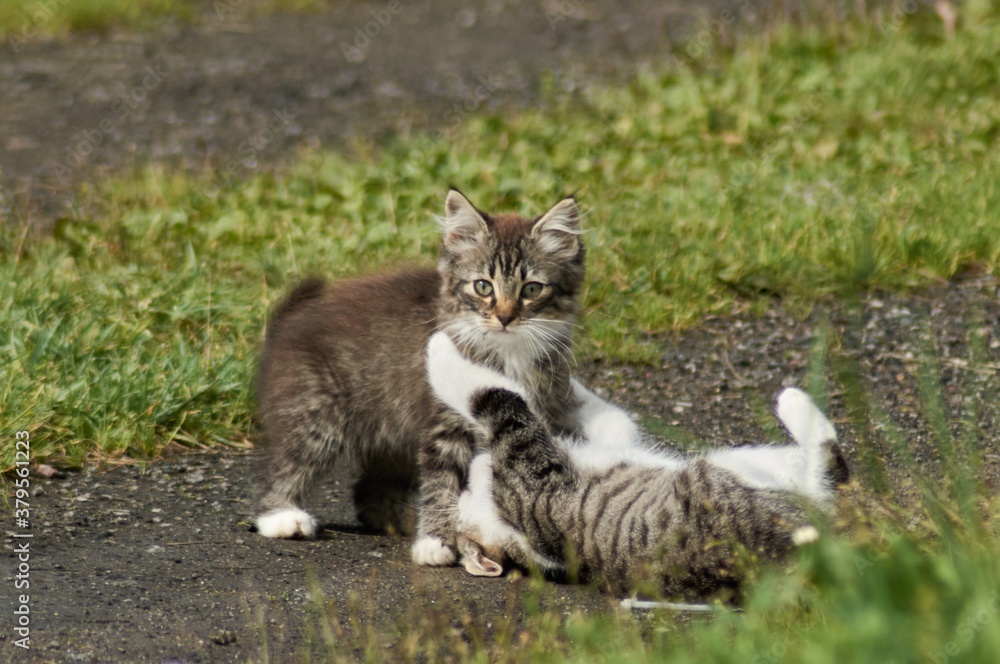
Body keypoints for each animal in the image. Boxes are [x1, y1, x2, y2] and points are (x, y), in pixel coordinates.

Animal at [254, 188, 588, 564]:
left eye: (531, 289)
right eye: (483, 287)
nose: (504, 317)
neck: (507, 353)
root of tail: (287, 322)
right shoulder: (445, 423)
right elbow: (442, 482)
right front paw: (437, 541)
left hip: (393, 434)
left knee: (370, 492)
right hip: (317, 414)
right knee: (286, 468)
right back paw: (282, 517)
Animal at [426, 334, 840, 600]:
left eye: (465, 489)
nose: (474, 468)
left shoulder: (610, 443)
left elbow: (610, 417)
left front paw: (567, 384)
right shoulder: (528, 458)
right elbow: (490, 394)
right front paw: (437, 344)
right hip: (727, 472)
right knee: (828, 465)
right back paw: (793, 402)